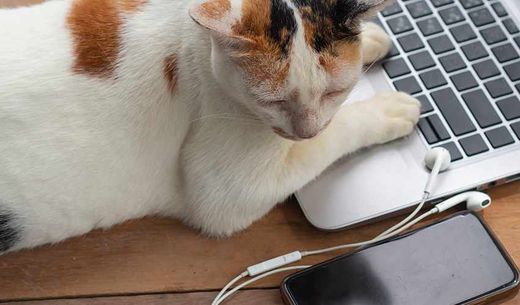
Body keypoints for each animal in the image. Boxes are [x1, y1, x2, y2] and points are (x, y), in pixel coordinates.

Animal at [0, 0, 418, 252]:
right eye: (274, 101)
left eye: (335, 90)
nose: (307, 130)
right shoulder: (229, 193)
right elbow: (336, 133)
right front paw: (388, 109)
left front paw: (372, 41)